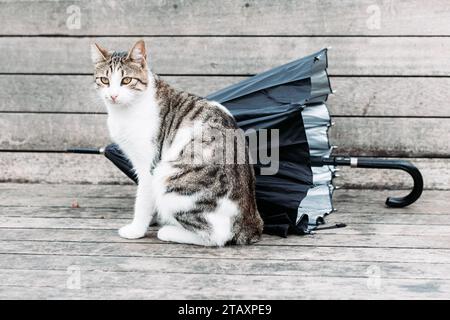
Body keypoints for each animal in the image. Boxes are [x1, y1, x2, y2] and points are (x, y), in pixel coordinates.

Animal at [90, 39, 264, 245]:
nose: (113, 95)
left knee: (216, 236)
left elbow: (142, 200)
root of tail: (250, 224)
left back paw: (168, 231)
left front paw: (136, 230)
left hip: (167, 177)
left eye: (126, 80)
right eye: (104, 80)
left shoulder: (148, 166)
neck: (124, 111)